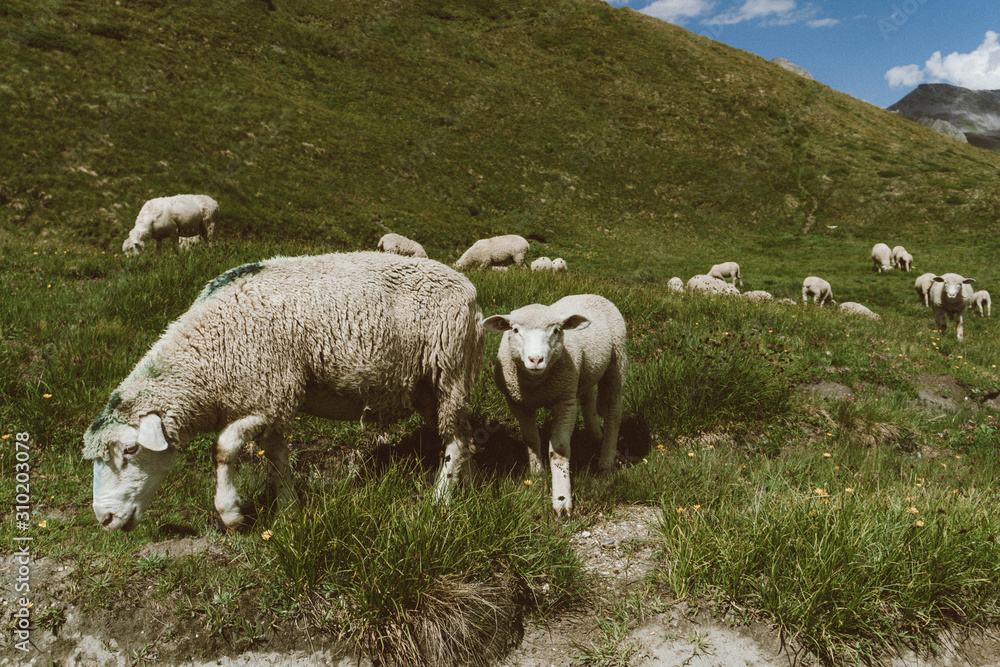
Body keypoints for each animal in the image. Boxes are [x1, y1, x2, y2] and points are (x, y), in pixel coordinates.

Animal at [83, 251, 484, 532]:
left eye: (131, 450)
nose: (104, 519)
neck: (208, 357)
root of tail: (468, 288)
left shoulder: (272, 396)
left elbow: (222, 447)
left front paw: (231, 513)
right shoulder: (268, 401)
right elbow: (276, 459)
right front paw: (289, 511)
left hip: (451, 369)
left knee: (455, 438)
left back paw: (442, 500)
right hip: (426, 387)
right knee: (462, 437)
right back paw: (467, 485)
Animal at [483, 295, 627, 517]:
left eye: (556, 330)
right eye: (515, 330)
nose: (536, 359)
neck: (536, 385)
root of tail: (590, 294)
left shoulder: (564, 402)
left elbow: (559, 449)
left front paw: (562, 500)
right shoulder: (517, 402)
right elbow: (531, 439)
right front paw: (537, 475)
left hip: (616, 363)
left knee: (613, 411)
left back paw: (606, 460)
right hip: (584, 374)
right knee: (587, 400)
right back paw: (596, 435)